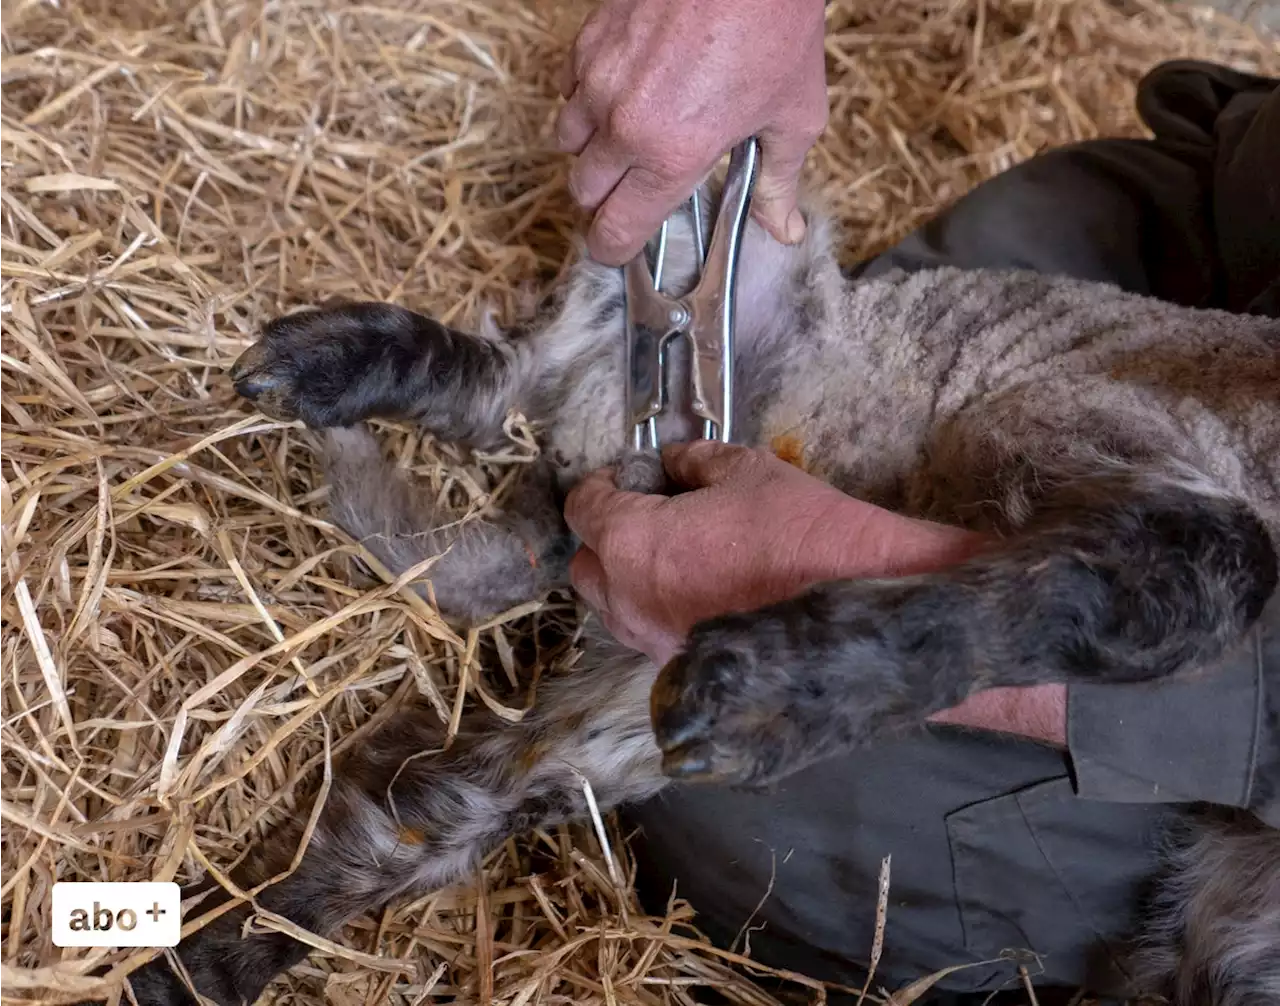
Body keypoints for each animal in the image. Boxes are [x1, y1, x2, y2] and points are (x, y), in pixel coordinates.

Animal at [110, 188, 1280, 1003]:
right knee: (514, 377)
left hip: (621, 697)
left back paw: (201, 965)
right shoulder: (1109, 428)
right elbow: (1193, 568)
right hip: (732, 260)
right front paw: (780, 695)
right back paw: (334, 364)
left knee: (435, 803)